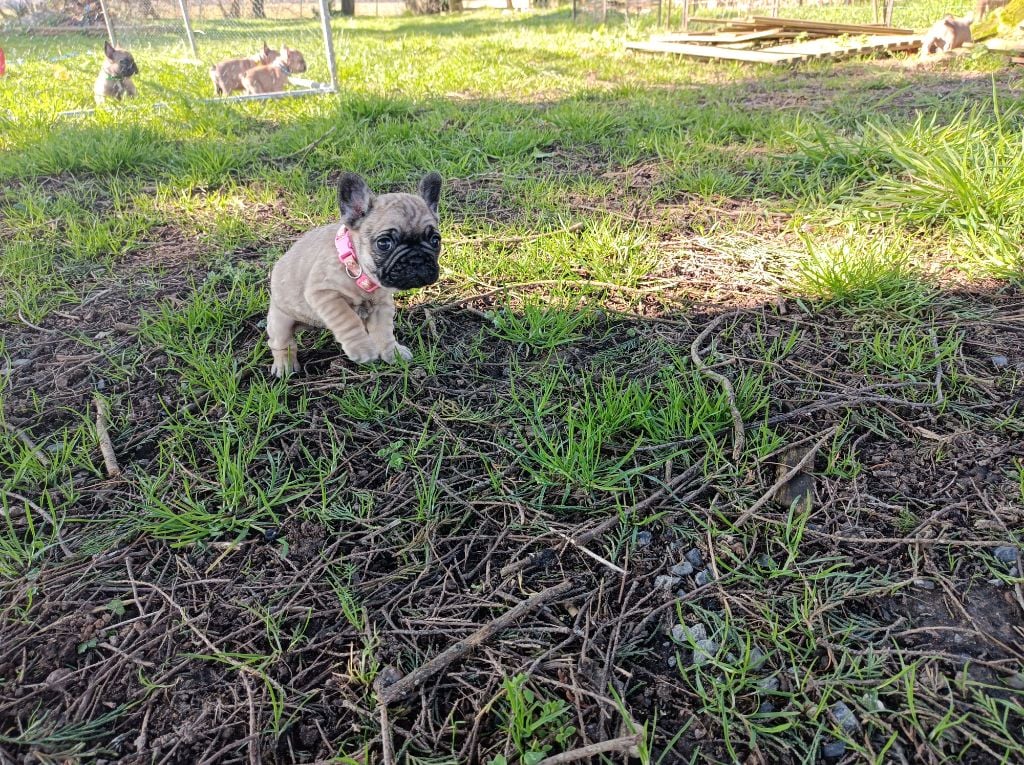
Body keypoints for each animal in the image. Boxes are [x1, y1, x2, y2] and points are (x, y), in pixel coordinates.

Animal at [266, 173, 442, 376]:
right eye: (384, 243)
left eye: (436, 240)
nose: (417, 259)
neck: (360, 273)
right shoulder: (325, 295)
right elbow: (347, 320)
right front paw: (361, 348)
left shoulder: (382, 306)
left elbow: (384, 331)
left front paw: (393, 352)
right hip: (280, 321)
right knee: (281, 343)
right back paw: (284, 364)